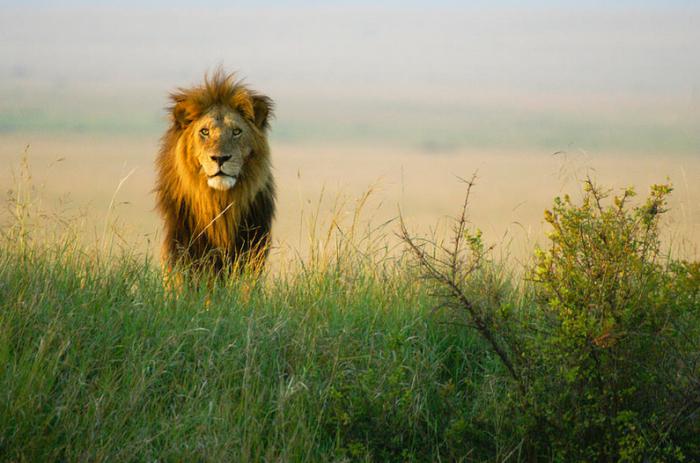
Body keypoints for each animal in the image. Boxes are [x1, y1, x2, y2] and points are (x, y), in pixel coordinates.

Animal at [154, 70, 274, 278]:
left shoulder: (252, 241)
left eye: (236, 131)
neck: (218, 201)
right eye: (205, 131)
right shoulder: (184, 240)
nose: (220, 158)